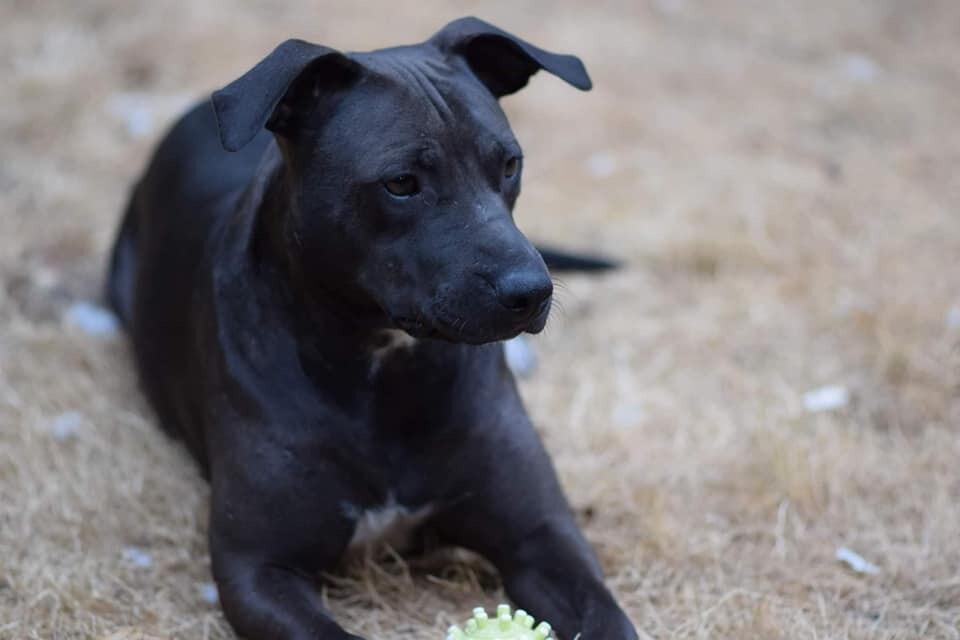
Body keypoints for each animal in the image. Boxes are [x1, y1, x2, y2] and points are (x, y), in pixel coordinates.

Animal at [109, 16, 636, 640]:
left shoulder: (542, 539)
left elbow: (607, 617)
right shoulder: (258, 569)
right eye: (401, 183)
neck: (384, 368)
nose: (531, 291)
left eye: (510, 165)